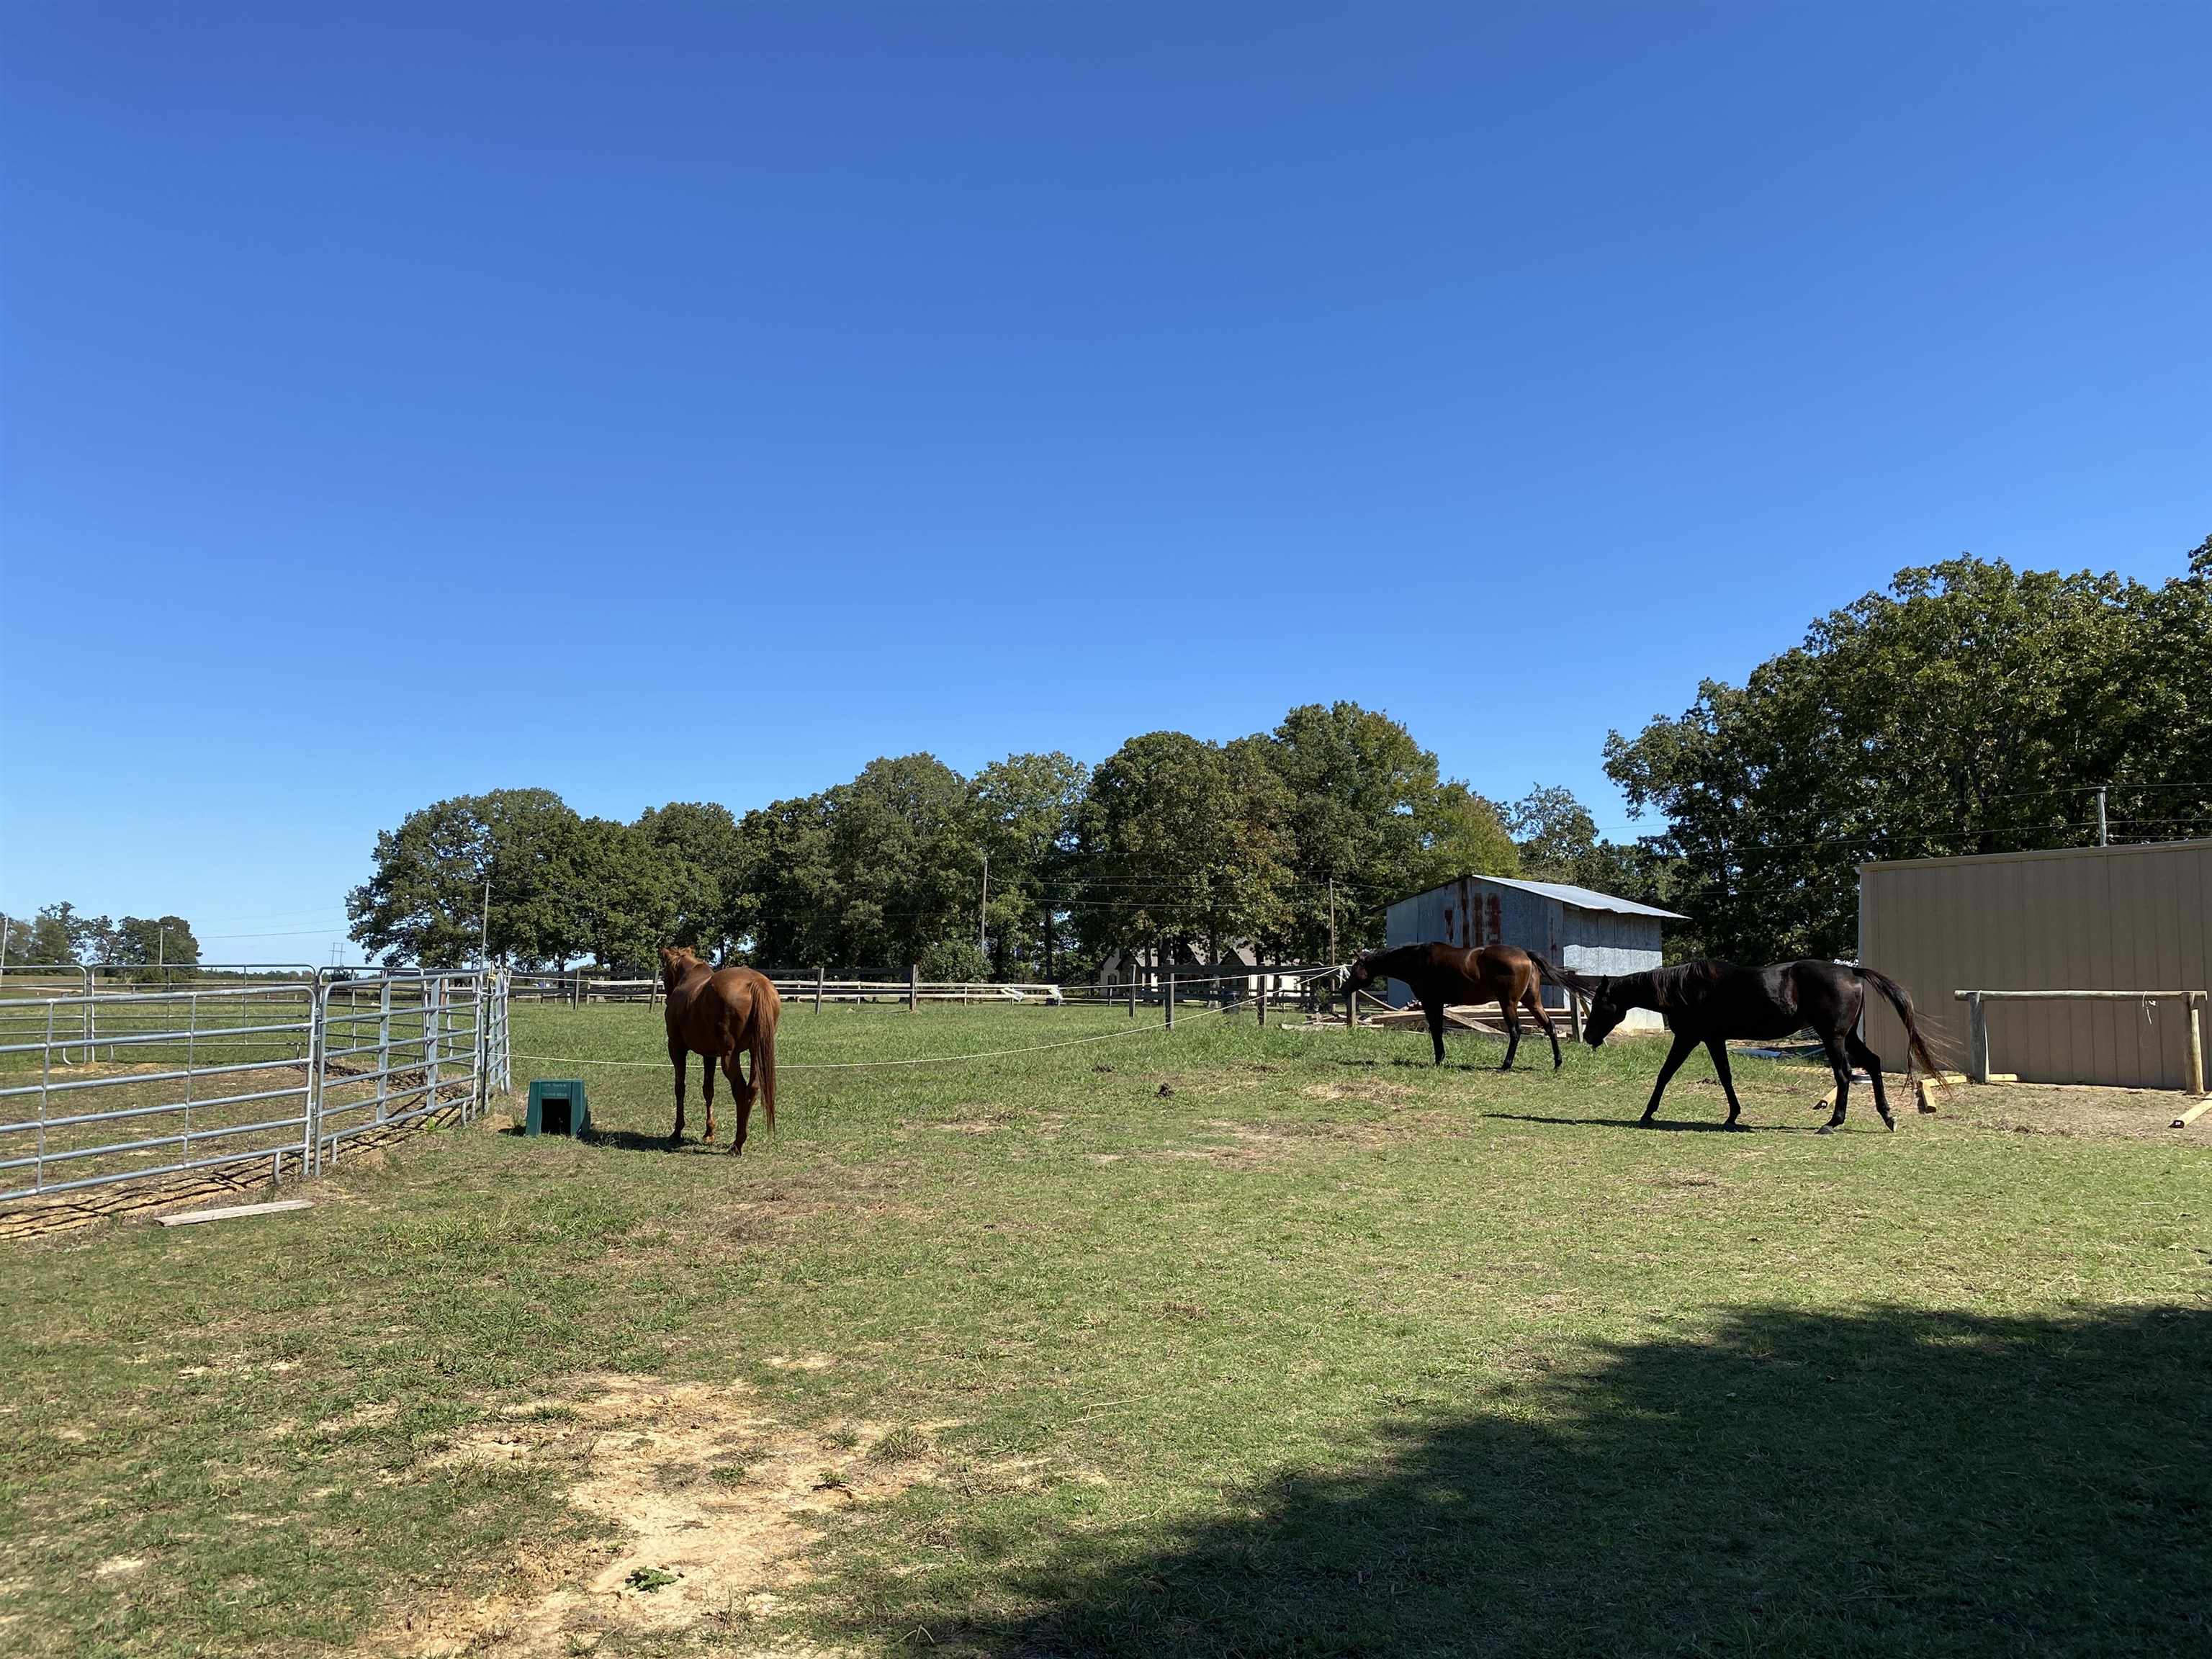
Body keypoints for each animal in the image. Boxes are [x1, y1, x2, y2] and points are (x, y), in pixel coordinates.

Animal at [659, 946, 783, 1159]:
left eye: (665, 973)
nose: (667, 996)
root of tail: (755, 982)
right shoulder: (709, 1055)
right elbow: (708, 1090)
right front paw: (709, 1133)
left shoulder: (676, 1048)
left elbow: (680, 1088)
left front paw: (677, 1131)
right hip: (756, 1052)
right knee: (752, 1088)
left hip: (729, 1056)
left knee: (740, 1089)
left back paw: (738, 1143)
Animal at [1336, 942, 1583, 1070]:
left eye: (1356, 967)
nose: (1344, 989)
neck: (1417, 960)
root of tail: (1525, 955)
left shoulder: (1431, 1002)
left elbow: (1436, 1030)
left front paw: (1439, 1059)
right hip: (1531, 1001)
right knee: (1550, 1027)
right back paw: (1557, 1063)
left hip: (1509, 1003)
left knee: (1516, 1032)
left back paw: (1506, 1064)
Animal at [1583, 956, 1946, 1141]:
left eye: (1599, 1004)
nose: (1588, 1037)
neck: (1685, 988)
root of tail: (1851, 970)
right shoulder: (1712, 1040)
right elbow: (1725, 1077)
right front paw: (1733, 1116)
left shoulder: (1690, 1037)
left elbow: (1665, 1074)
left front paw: (1647, 1114)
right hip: (1847, 1037)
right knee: (1872, 1063)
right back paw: (1887, 1117)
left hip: (1834, 1038)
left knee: (1844, 1074)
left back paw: (1833, 1122)